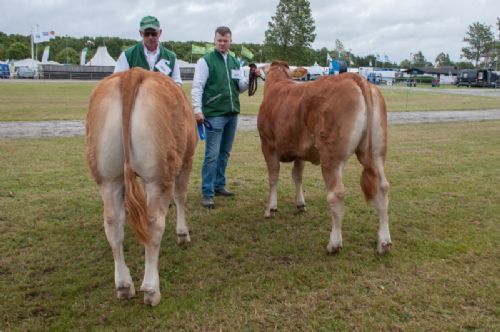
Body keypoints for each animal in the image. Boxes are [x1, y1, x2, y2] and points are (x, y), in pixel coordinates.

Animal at [85, 68, 196, 306]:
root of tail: (132, 74)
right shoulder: (186, 160)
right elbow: (180, 196)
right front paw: (183, 234)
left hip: (108, 177)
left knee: (113, 224)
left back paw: (124, 286)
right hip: (159, 174)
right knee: (154, 223)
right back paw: (151, 290)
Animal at [258, 61, 390, 254]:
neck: (278, 84)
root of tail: (354, 77)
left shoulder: (267, 145)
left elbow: (273, 177)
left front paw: (271, 209)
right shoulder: (300, 151)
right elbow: (297, 176)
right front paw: (300, 204)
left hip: (331, 157)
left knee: (336, 194)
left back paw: (334, 244)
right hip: (377, 153)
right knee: (382, 188)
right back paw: (384, 242)